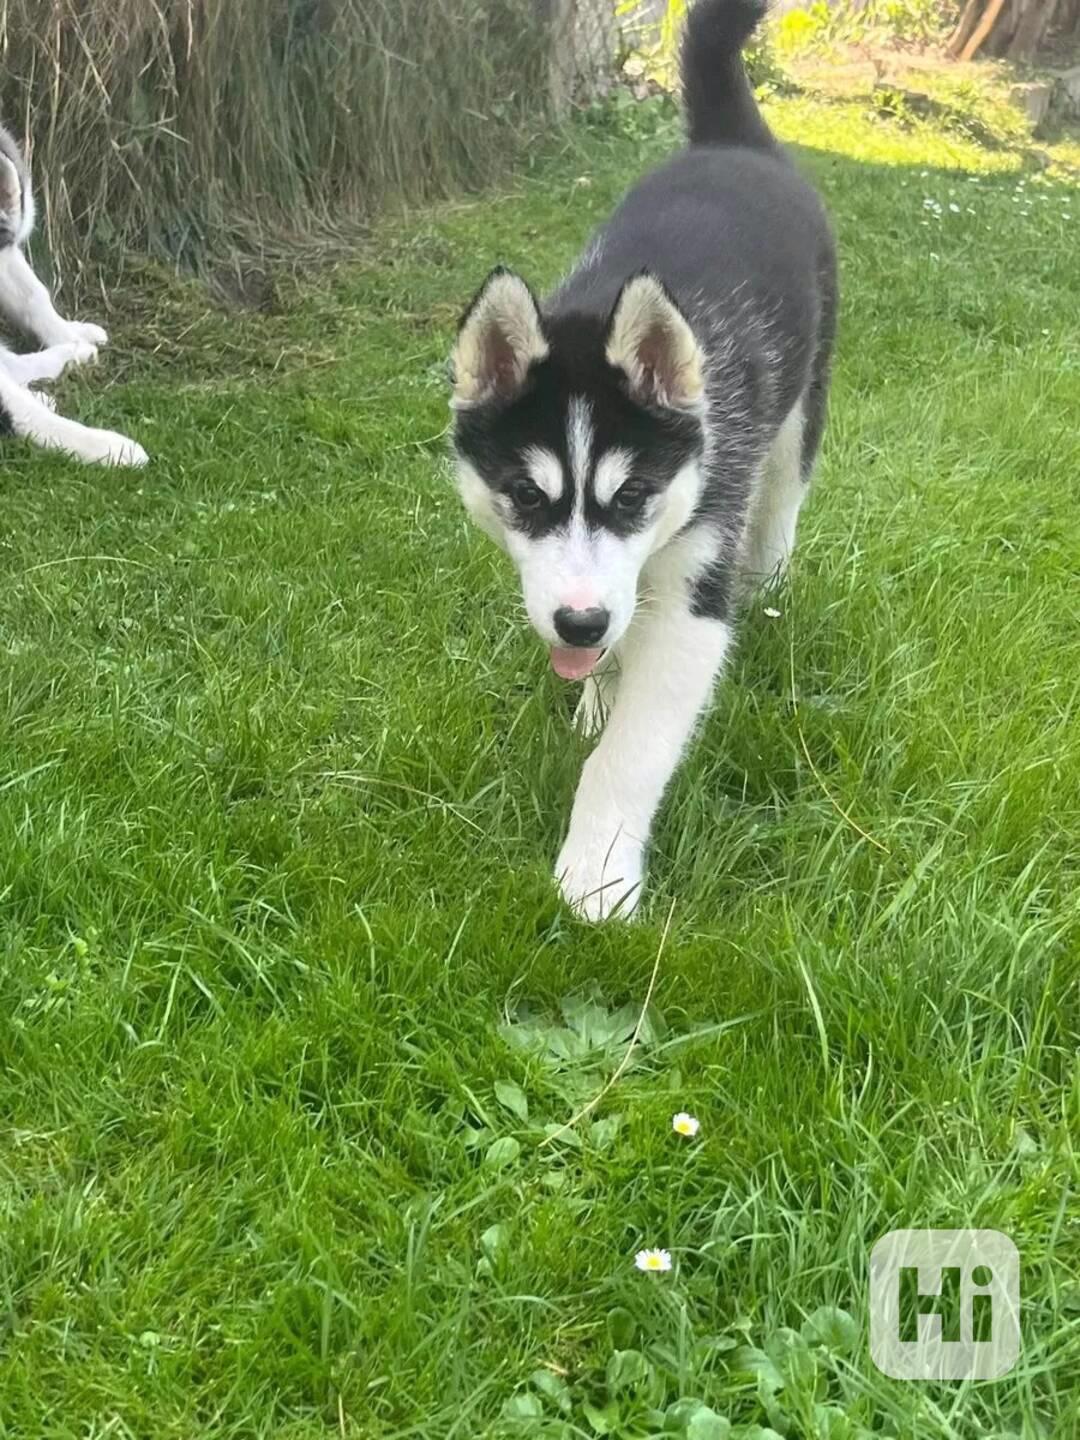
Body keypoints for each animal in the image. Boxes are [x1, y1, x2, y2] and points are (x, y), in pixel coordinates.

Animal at [446, 2, 835, 921]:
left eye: (634, 499)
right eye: (524, 496)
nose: (579, 625)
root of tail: (732, 145)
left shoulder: (692, 598)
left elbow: (631, 753)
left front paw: (596, 874)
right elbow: (616, 651)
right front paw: (597, 695)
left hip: (799, 420)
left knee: (779, 510)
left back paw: (767, 587)